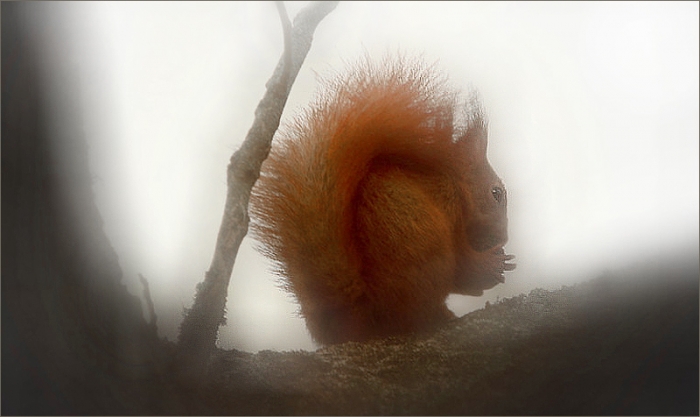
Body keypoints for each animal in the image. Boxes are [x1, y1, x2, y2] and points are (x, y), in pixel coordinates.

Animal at [250, 56, 515, 345]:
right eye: (496, 193)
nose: (502, 238)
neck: (455, 184)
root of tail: (365, 316)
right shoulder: (447, 201)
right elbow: (465, 268)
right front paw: (492, 265)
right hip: (424, 247)